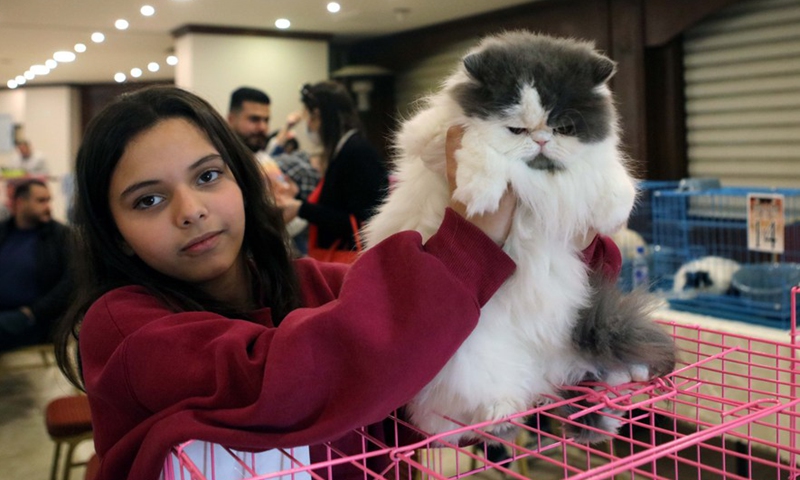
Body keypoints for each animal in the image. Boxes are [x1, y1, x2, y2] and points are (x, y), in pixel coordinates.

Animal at [366, 31, 680, 442]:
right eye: (516, 129)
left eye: (563, 128)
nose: (542, 139)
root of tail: (542, 374)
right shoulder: (435, 138)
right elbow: (480, 148)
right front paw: (480, 192)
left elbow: (604, 171)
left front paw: (614, 205)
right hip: (478, 362)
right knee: (483, 405)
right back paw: (504, 413)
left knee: (595, 373)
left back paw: (625, 383)